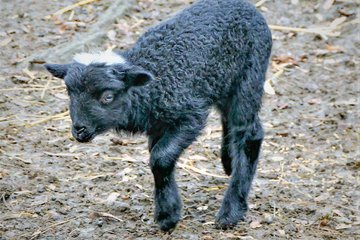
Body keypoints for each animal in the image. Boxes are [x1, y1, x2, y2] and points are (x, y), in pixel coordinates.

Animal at [43, 0, 272, 232]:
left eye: (108, 96)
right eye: (69, 92)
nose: (80, 130)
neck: (152, 86)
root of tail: (243, 5)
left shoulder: (190, 115)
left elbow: (160, 158)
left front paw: (168, 216)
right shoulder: (158, 125)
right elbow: (159, 159)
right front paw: (167, 210)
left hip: (249, 75)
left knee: (249, 133)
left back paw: (231, 210)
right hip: (223, 82)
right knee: (230, 120)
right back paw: (228, 162)